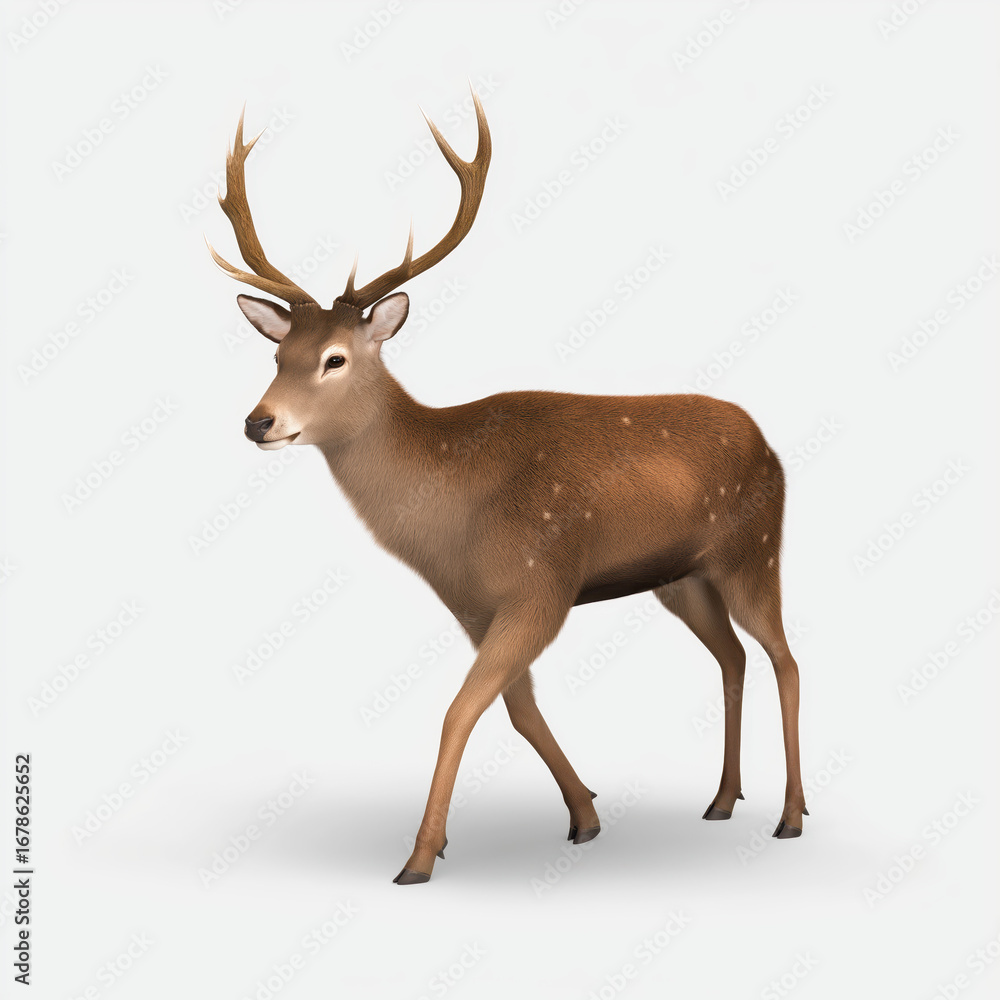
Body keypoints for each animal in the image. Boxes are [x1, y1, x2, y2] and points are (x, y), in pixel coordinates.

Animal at [207, 87, 806, 885]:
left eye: (335, 358)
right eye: (278, 354)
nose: (258, 421)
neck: (449, 525)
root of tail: (770, 446)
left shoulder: (539, 581)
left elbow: (461, 709)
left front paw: (420, 856)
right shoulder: (472, 601)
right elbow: (518, 710)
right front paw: (584, 814)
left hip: (755, 549)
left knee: (785, 659)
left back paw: (790, 815)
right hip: (683, 577)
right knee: (733, 657)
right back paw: (720, 799)